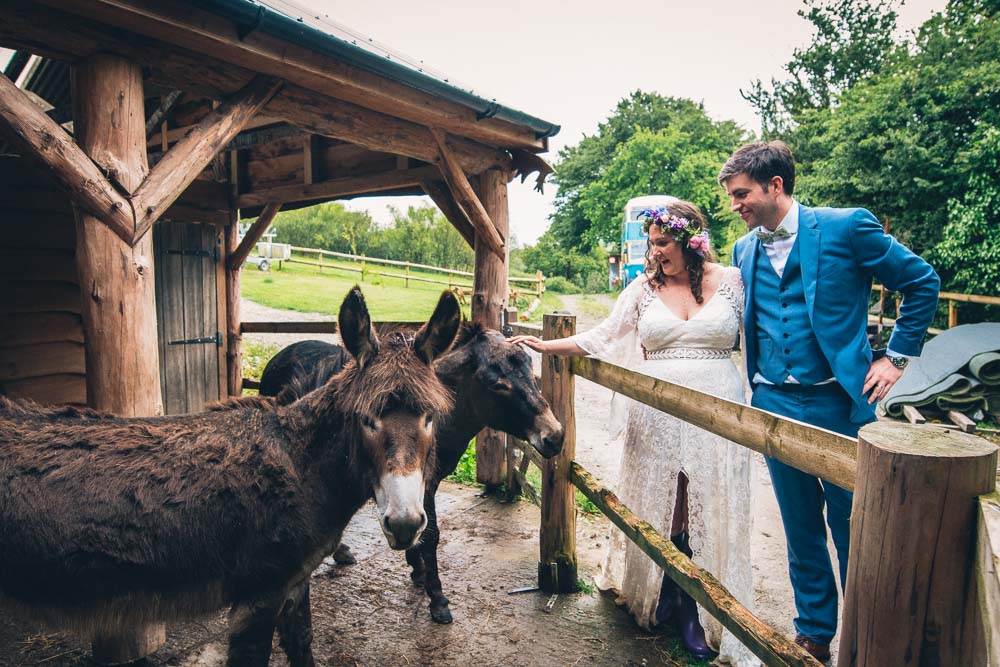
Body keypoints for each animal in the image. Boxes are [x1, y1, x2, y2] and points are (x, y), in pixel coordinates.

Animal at [0, 287, 461, 667]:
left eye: (430, 417)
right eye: (365, 419)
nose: (405, 523)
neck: (302, 465)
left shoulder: (295, 582)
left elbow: (304, 645)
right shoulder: (257, 596)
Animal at [259, 322, 564, 624]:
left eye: (531, 371)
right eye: (498, 385)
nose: (556, 437)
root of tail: (283, 354)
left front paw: (417, 570)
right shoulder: (421, 482)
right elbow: (430, 535)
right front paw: (437, 597)